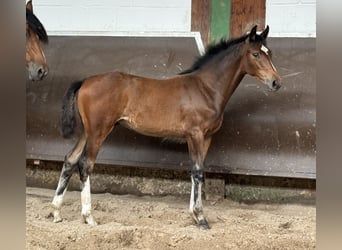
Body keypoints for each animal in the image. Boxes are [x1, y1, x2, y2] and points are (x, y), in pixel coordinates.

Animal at [51, 24, 280, 229]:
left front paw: (194, 215)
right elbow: (198, 171)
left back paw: (56, 213)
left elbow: (196, 171)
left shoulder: (205, 137)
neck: (205, 88)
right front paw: (201, 218)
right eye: (255, 54)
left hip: (86, 132)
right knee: (85, 164)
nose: (276, 83)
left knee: (70, 159)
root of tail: (85, 81)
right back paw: (89, 217)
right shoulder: (195, 134)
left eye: (269, 53)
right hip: (99, 131)